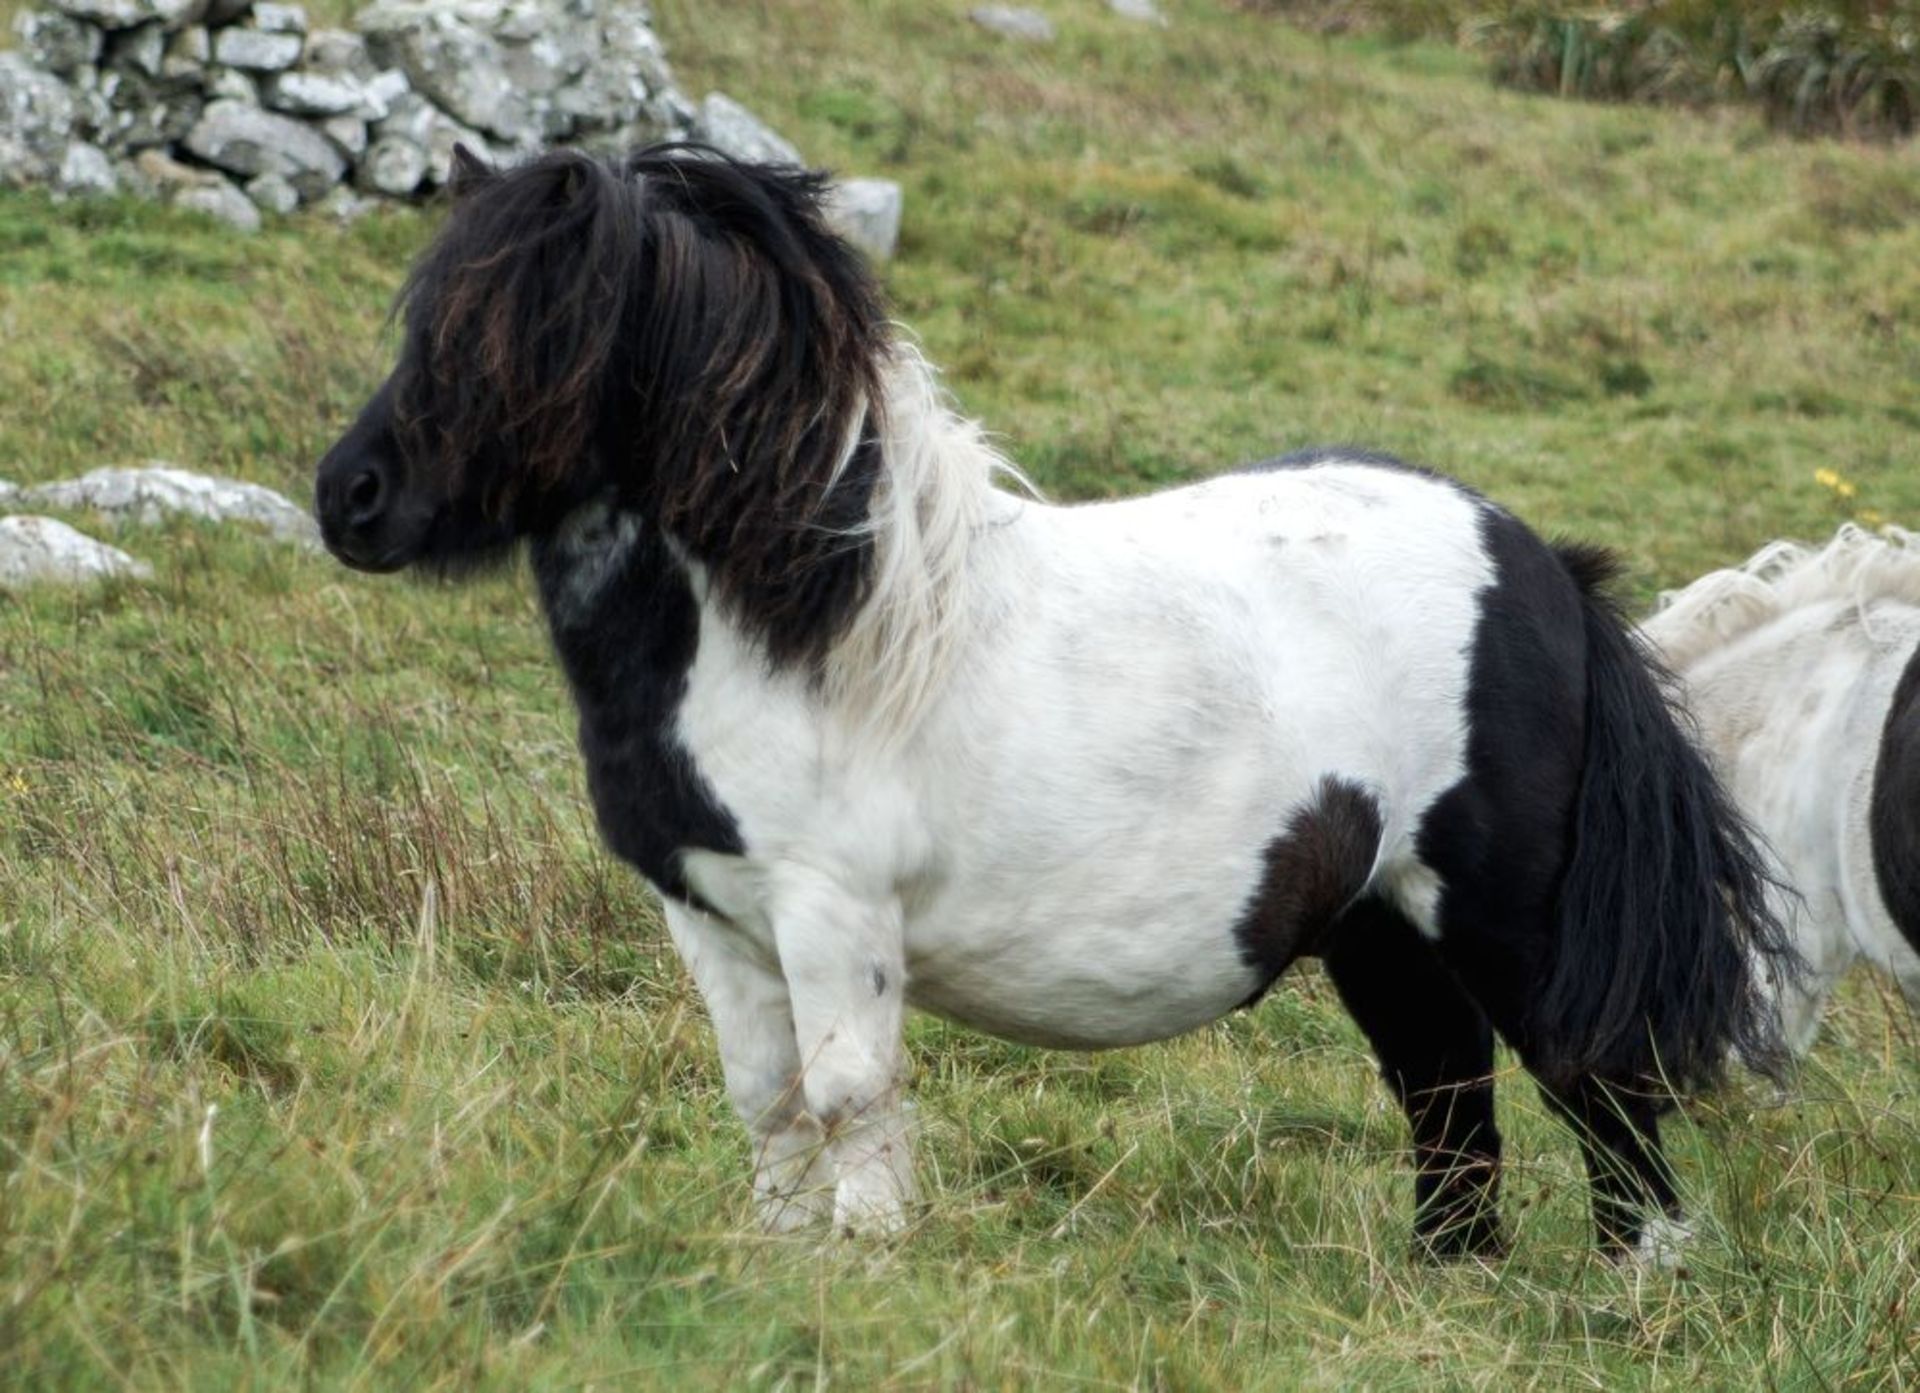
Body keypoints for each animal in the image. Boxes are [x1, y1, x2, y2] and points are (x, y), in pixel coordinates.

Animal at [307, 141, 1789, 1266]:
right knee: (1445, 1086)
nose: (351, 497)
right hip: (1378, 921)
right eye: (428, 319)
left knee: (1593, 1080)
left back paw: (1636, 1281)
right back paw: (1449, 1281)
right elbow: (769, 1102)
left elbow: (847, 1094)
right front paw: (782, 1265)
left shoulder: (833, 914)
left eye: (538, 332)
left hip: (1501, 913)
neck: (804, 629)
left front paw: (867, 1268)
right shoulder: (711, 917)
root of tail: (1540, 567)